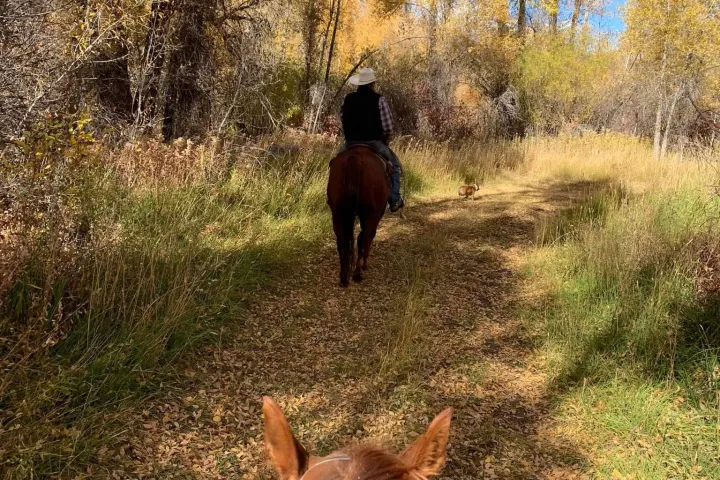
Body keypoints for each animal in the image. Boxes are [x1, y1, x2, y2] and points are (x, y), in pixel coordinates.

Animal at [327, 146, 390, 287]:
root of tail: (355, 158)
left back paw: (343, 277)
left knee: (341, 241)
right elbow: (369, 236)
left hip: (337, 214)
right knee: (364, 238)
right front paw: (364, 265)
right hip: (370, 215)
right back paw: (357, 273)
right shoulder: (376, 214)